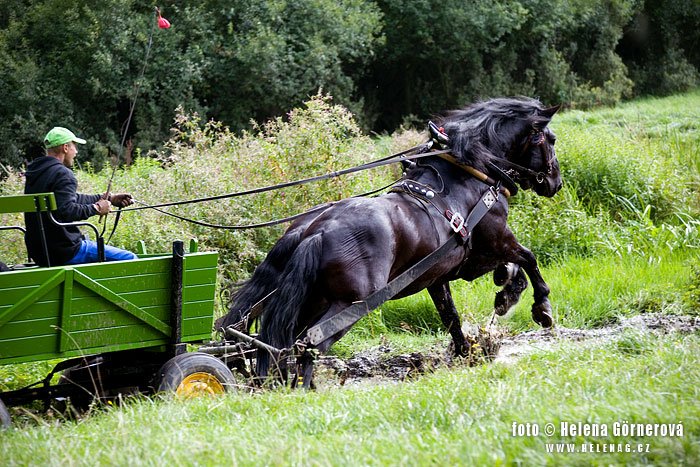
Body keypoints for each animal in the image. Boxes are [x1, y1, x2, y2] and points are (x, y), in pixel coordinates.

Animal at [219, 96, 564, 384]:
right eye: (551, 139)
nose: (555, 183)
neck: (467, 177)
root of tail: (315, 231)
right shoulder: (490, 247)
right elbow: (527, 258)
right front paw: (539, 306)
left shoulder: (439, 275)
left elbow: (450, 315)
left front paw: (470, 346)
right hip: (348, 303)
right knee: (311, 342)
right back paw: (304, 388)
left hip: (310, 299)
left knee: (279, 342)